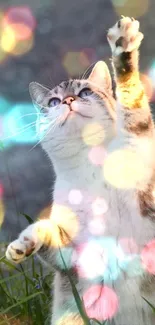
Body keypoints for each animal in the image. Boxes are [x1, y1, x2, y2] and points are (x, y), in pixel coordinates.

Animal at [5, 17, 155, 324]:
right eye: (53, 102)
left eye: (84, 92)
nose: (68, 101)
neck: (91, 165)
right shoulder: (75, 253)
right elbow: (46, 230)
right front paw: (20, 245)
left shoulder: (140, 153)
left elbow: (131, 99)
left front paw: (123, 47)